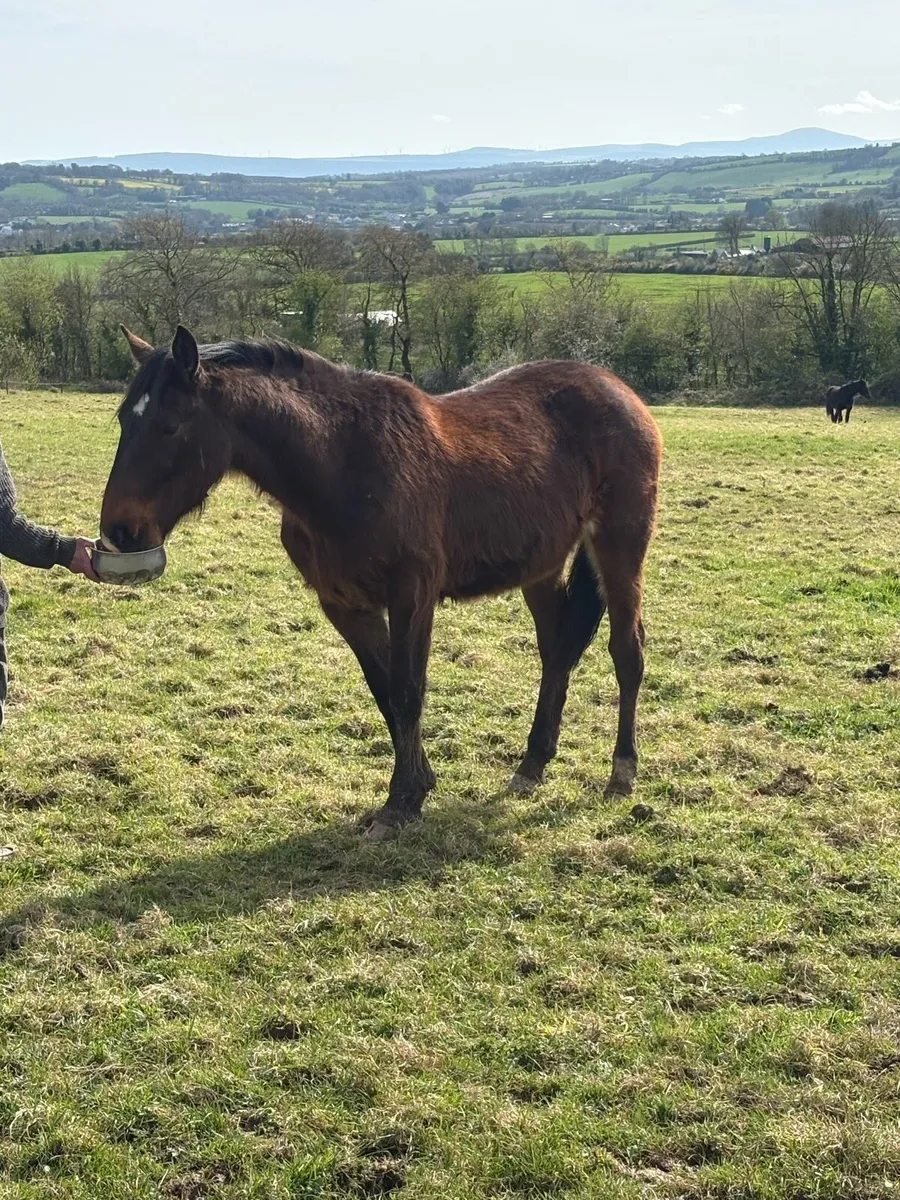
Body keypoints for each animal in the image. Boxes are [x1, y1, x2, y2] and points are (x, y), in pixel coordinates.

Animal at [101, 325, 662, 840]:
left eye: (171, 427)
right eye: (125, 420)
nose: (119, 531)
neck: (344, 465)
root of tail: (620, 390)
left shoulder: (413, 595)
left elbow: (409, 690)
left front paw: (400, 805)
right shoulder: (346, 605)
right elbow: (385, 692)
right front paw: (415, 790)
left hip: (620, 547)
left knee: (626, 651)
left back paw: (621, 774)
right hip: (540, 568)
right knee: (556, 652)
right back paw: (532, 765)